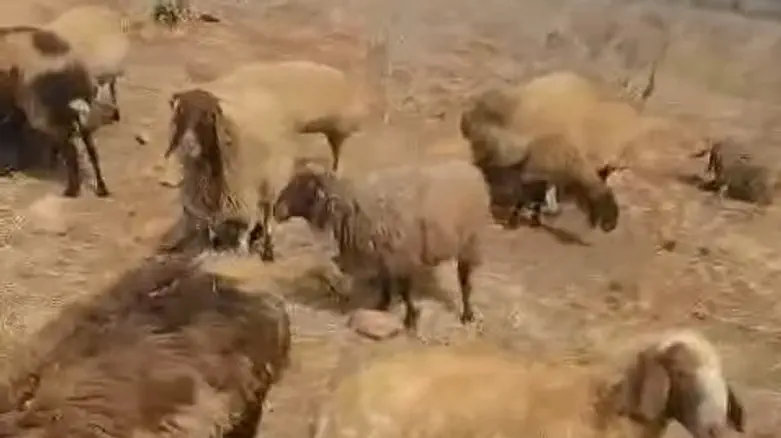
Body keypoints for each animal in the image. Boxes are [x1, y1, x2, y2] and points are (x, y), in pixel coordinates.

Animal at [0, 27, 111, 197]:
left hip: (45, 114)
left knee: (71, 150)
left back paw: (72, 190)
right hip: (79, 115)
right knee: (91, 149)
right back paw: (101, 189)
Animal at [272, 158, 491, 331]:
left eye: (301, 185)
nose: (276, 210)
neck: (352, 208)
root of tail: (473, 169)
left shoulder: (402, 255)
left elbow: (404, 290)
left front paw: (410, 319)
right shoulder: (382, 254)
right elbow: (384, 282)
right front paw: (381, 307)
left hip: (471, 241)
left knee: (465, 281)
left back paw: (467, 314)